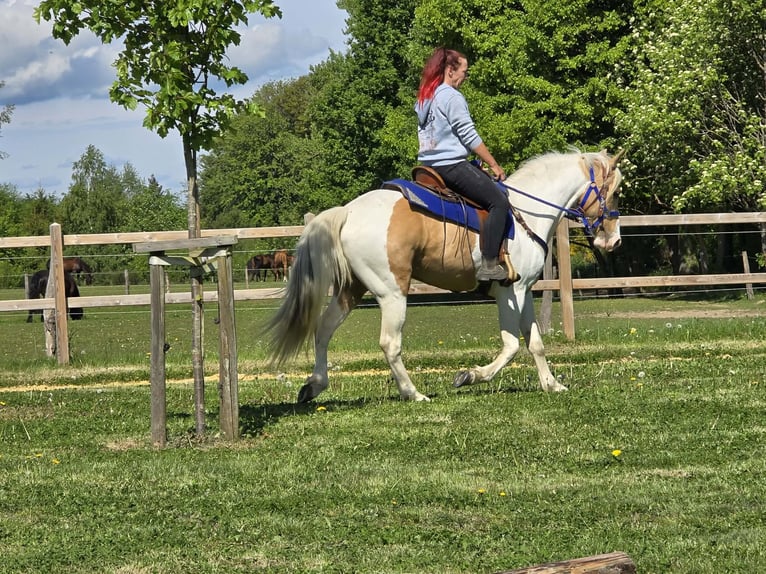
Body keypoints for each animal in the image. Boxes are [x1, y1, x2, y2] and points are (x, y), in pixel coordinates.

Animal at [264, 149, 623, 403]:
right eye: (615, 192)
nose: (614, 240)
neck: (526, 214)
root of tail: (349, 210)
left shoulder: (525, 292)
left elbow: (534, 343)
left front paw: (552, 384)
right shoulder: (510, 292)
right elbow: (511, 345)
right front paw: (470, 376)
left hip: (351, 290)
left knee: (323, 330)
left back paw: (314, 385)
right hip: (392, 293)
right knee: (389, 343)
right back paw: (413, 393)